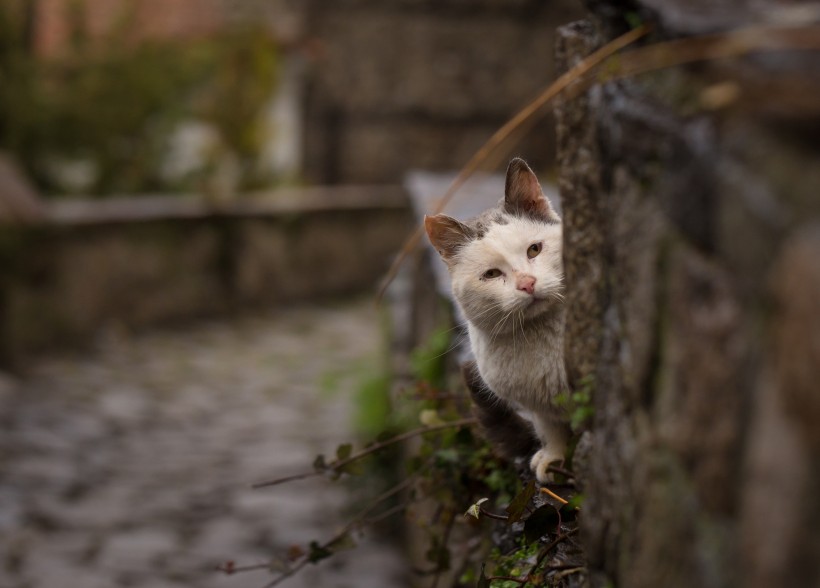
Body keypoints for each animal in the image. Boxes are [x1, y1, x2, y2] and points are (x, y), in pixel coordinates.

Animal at [422, 157, 572, 482]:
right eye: (491, 274)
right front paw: (554, 458)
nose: (527, 283)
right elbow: (552, 428)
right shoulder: (542, 409)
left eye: (534, 250)